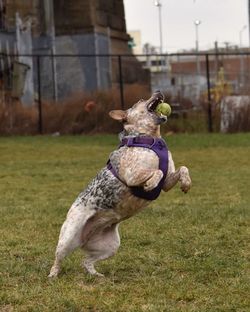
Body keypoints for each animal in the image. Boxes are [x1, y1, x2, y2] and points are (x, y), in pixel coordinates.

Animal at [48, 90, 191, 278]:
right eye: (141, 100)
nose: (159, 91)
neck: (150, 138)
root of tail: (85, 238)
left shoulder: (167, 183)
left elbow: (183, 168)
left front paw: (186, 183)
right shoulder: (132, 175)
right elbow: (156, 172)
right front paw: (150, 184)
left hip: (111, 245)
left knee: (85, 261)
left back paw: (96, 276)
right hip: (69, 236)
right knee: (58, 258)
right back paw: (53, 275)